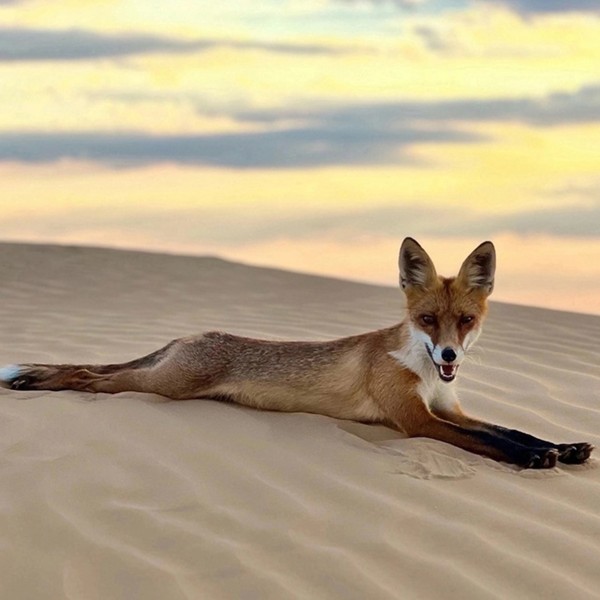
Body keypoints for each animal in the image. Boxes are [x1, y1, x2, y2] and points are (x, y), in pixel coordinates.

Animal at [0, 238, 592, 468]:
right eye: (427, 319)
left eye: (465, 321)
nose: (448, 356)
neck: (425, 375)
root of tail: (190, 335)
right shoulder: (418, 422)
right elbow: (490, 443)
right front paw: (534, 460)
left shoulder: (448, 408)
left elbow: (510, 430)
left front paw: (562, 446)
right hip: (161, 386)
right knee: (89, 376)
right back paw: (35, 382)